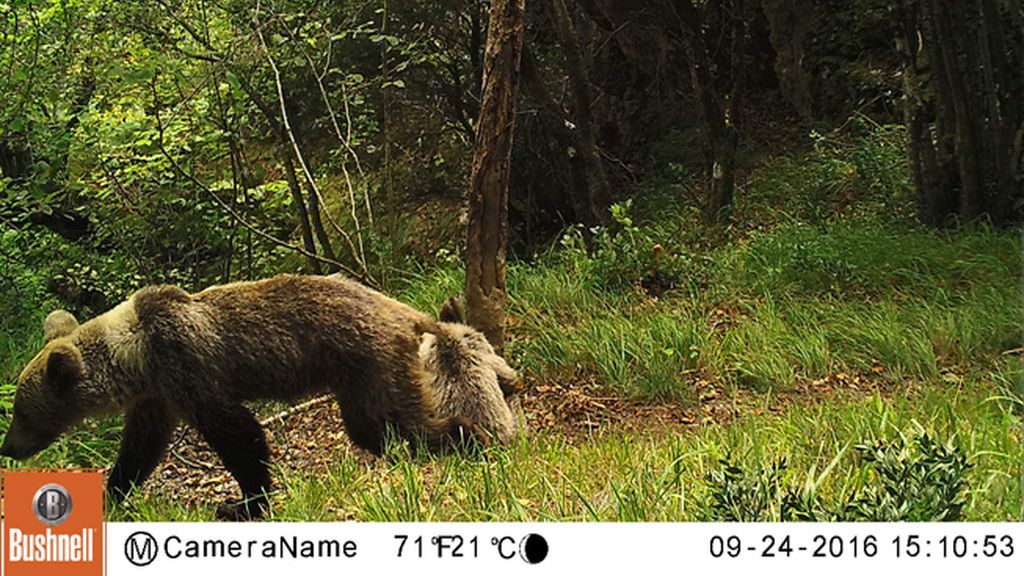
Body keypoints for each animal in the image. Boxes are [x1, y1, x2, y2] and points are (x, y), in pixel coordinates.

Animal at [0, 274, 491, 520]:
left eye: (21, 411)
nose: (8, 447)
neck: (135, 356)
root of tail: (405, 311)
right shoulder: (158, 396)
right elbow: (140, 449)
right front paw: (110, 494)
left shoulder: (188, 367)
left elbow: (237, 432)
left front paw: (243, 503)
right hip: (357, 384)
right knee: (376, 429)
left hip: (372, 361)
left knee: (407, 421)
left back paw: (475, 439)